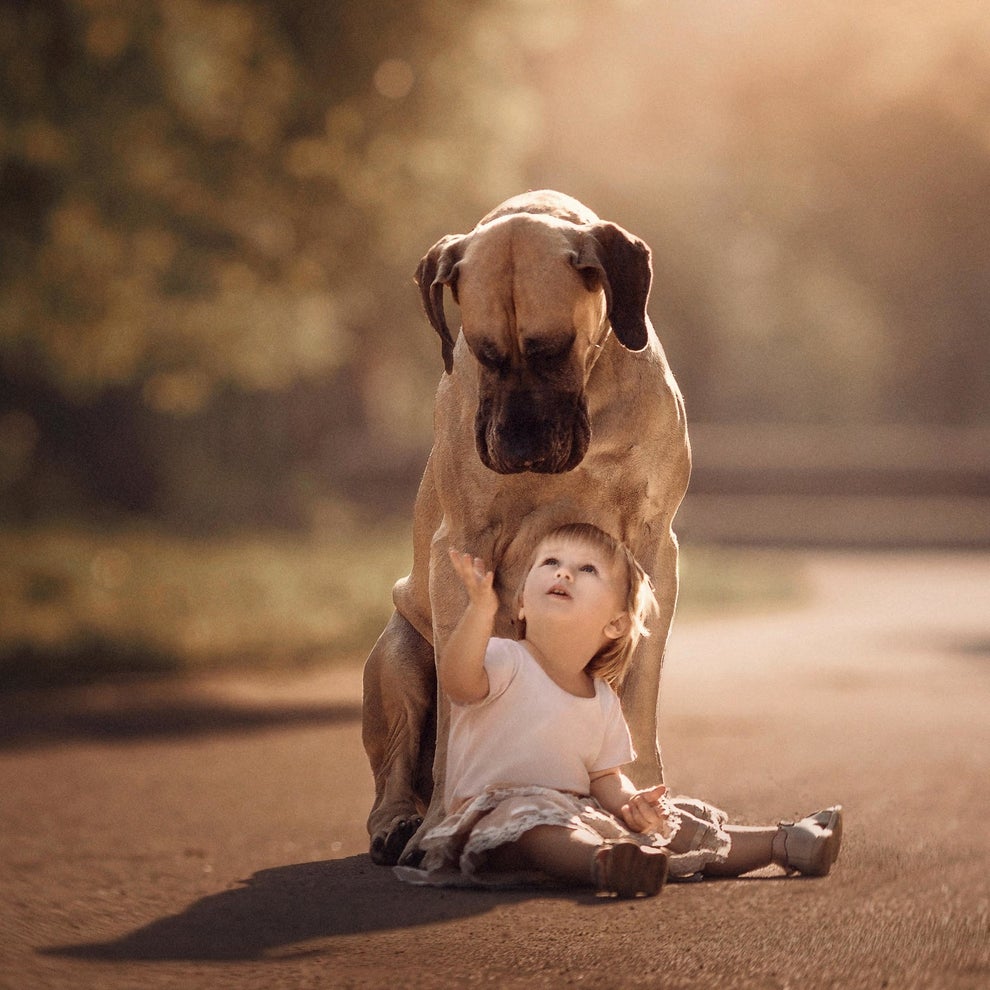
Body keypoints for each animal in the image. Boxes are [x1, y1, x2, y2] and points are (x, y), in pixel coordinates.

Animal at [362, 190, 688, 864]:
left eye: (553, 349)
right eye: (482, 352)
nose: (518, 446)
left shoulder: (653, 550)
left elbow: (638, 701)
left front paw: (647, 808)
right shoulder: (461, 555)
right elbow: (455, 722)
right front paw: (442, 824)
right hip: (398, 657)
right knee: (397, 764)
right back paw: (400, 822)